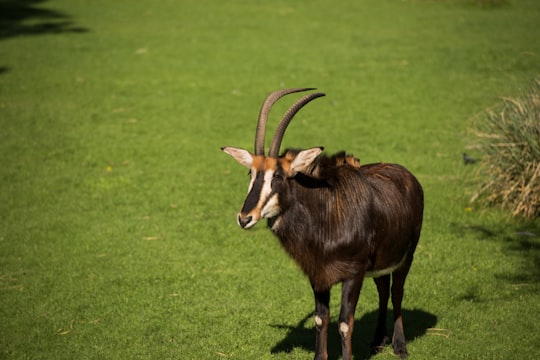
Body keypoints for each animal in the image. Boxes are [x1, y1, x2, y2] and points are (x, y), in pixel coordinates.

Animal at [221, 88, 424, 360]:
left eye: (278, 175)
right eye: (251, 173)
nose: (245, 218)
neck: (324, 215)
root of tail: (408, 176)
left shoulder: (353, 274)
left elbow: (345, 323)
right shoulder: (317, 275)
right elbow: (321, 318)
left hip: (405, 257)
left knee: (396, 292)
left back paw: (399, 346)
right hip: (380, 263)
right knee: (383, 288)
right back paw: (377, 342)